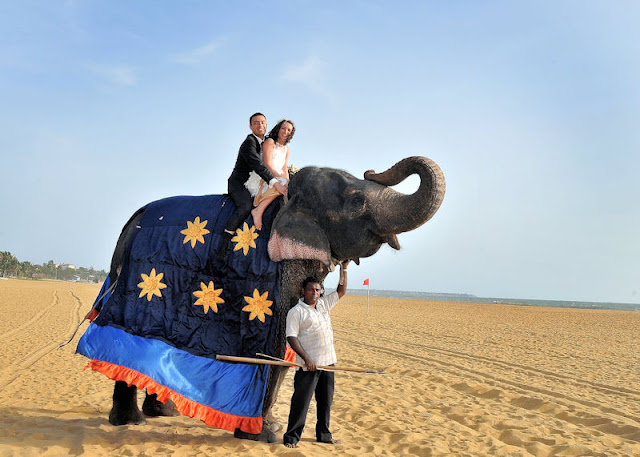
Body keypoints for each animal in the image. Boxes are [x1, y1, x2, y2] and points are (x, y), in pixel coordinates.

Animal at [77, 155, 442, 440]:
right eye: (356, 201)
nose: (372, 170)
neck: (287, 198)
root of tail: (132, 220)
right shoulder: (274, 274)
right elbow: (277, 339)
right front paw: (265, 434)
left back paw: (163, 413)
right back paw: (130, 422)